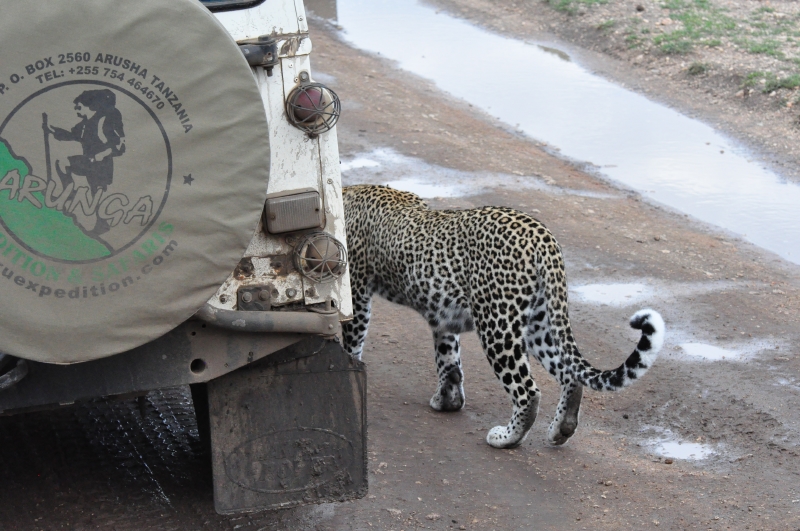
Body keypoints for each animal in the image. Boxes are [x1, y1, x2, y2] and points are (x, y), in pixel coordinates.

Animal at [341, 184, 665, 449]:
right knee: (570, 375)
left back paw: (506, 438)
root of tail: (543, 237)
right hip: (539, 322)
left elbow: (352, 343)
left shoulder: (356, 293)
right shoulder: (442, 315)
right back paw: (561, 429)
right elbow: (449, 359)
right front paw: (448, 400)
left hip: (497, 324)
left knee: (528, 391)